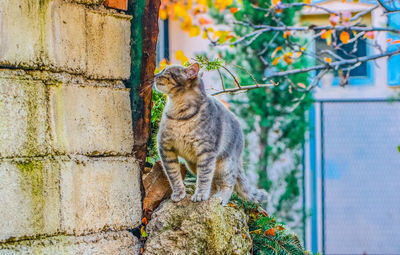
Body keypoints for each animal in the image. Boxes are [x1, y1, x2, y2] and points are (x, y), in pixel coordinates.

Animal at [153, 63, 268, 205]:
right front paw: (179, 193)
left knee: (227, 183)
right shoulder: (166, 148)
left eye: (166, 72)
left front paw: (200, 195)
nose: (155, 75)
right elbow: (173, 174)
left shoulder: (206, 152)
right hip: (193, 164)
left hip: (225, 165)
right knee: (213, 183)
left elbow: (204, 177)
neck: (179, 112)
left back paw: (220, 198)